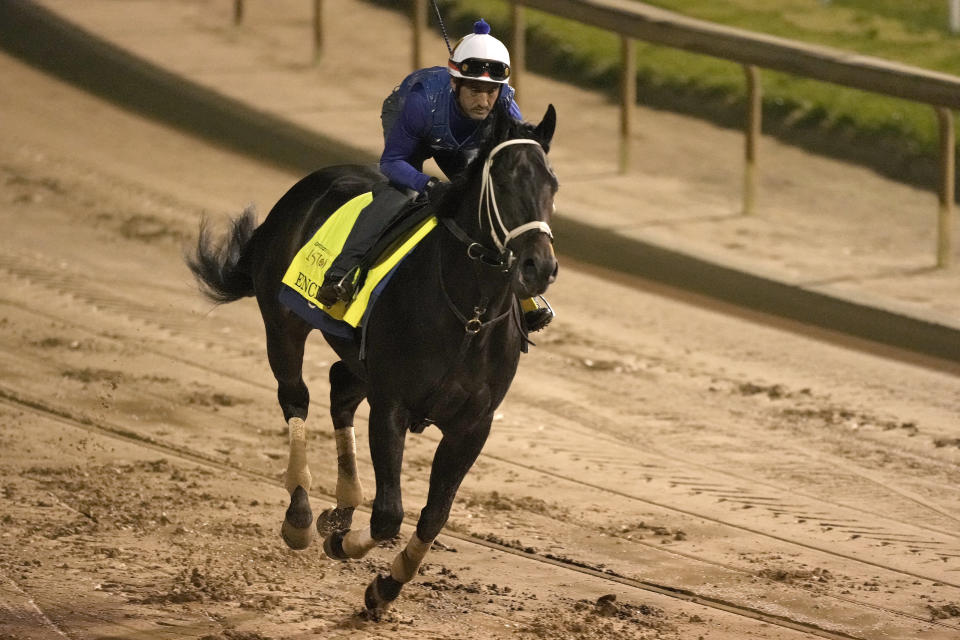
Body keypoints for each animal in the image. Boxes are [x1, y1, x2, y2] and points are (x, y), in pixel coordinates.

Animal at [185, 101, 560, 608]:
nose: (539, 266)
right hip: (282, 323)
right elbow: (388, 514)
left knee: (340, 389)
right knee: (295, 398)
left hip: (360, 362)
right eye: (503, 182)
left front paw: (386, 585)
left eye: (551, 184)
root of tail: (308, 185)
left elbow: (433, 515)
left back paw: (344, 503)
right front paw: (343, 545)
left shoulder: (472, 425)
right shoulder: (392, 404)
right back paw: (301, 516)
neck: (470, 315)